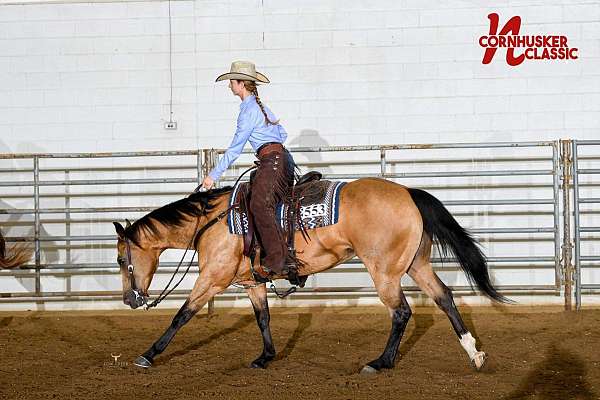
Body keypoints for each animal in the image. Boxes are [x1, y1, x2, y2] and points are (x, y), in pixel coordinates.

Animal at [111, 177, 506, 374]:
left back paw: (380, 362)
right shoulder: (251, 282)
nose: (130, 299)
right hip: (415, 264)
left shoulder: (213, 279)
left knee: (402, 312)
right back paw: (475, 354)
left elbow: (182, 315)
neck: (212, 222)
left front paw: (148, 355)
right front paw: (265, 357)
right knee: (444, 298)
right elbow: (263, 318)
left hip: (384, 272)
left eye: (118, 259)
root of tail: (408, 194)